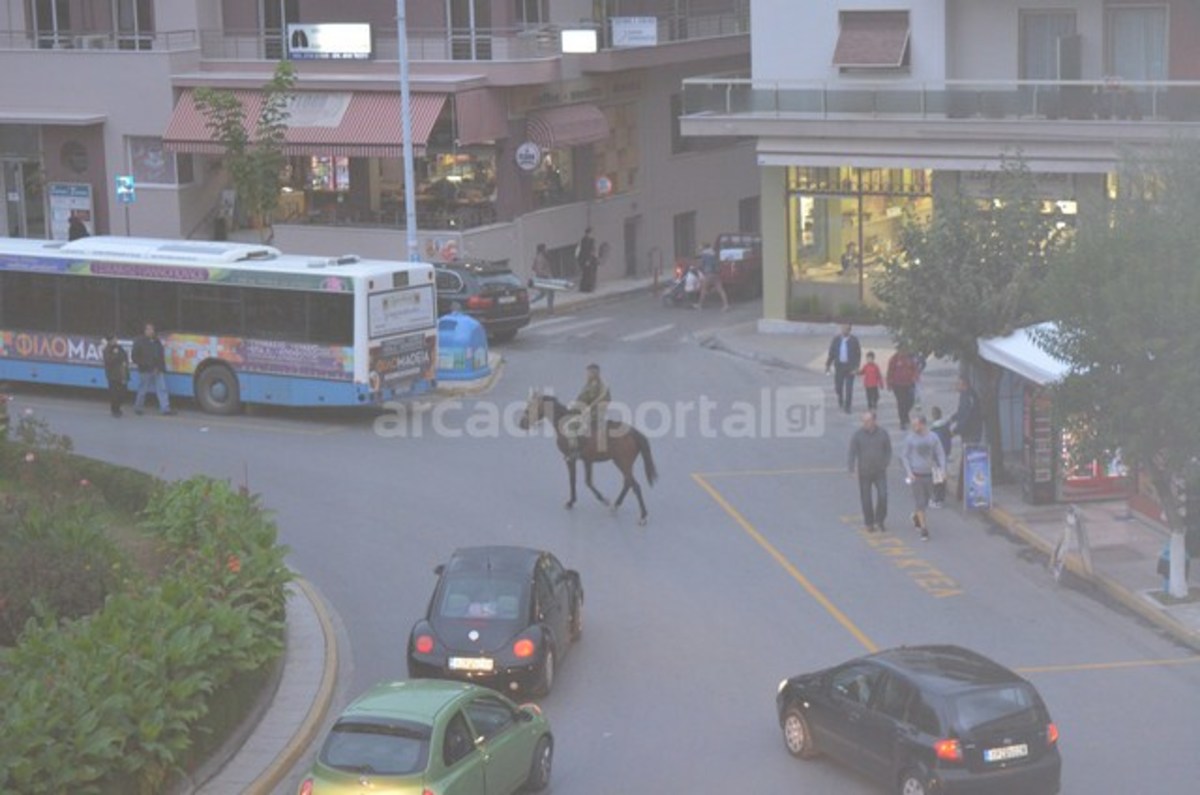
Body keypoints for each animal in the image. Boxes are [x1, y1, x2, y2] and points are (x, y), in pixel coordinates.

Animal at [520, 391, 662, 525]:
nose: (521, 423)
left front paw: (577, 501)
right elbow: (587, 481)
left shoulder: (570, 458)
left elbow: (574, 480)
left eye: (530, 407)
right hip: (623, 464)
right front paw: (595, 499)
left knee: (635, 486)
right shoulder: (587, 460)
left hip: (622, 463)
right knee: (628, 483)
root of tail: (633, 432)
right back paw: (616, 505)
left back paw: (643, 516)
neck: (564, 423)